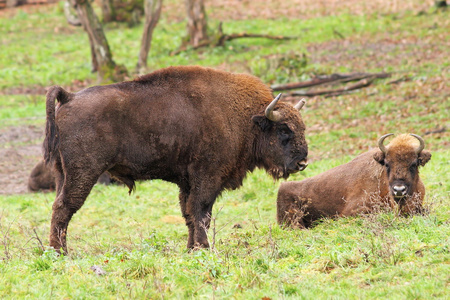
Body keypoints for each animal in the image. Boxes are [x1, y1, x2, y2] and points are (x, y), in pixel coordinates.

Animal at [43, 65, 310, 253]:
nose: (302, 163)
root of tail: (69, 97)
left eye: (302, 126)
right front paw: (203, 248)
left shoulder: (187, 182)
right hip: (83, 172)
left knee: (57, 205)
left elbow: (189, 214)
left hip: (62, 172)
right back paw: (61, 253)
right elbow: (201, 212)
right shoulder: (207, 177)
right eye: (284, 130)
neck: (246, 117)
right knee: (64, 207)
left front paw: (191, 248)